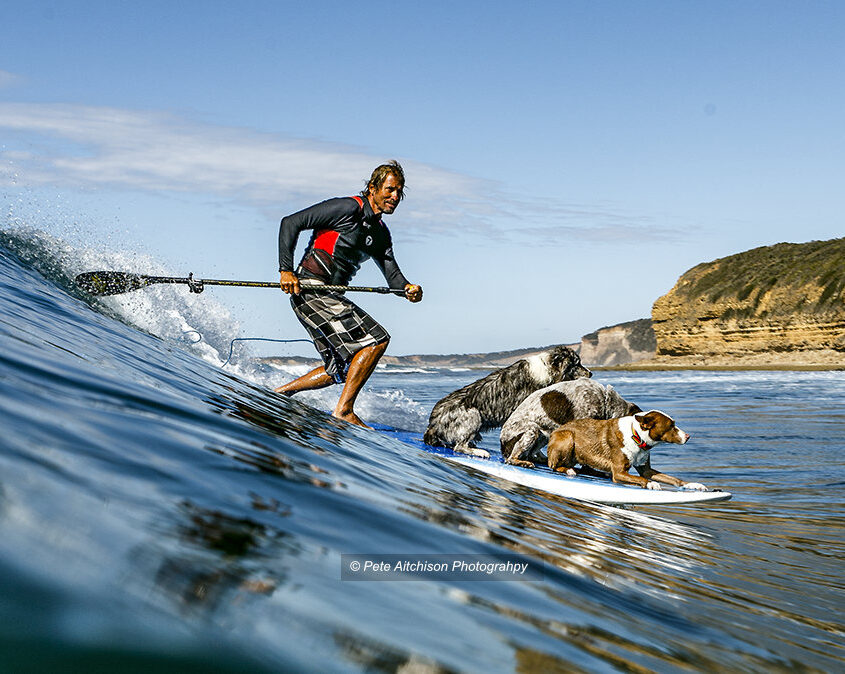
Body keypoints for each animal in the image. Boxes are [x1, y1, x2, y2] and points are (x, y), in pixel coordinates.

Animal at [544, 406, 704, 490]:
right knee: (553, 465)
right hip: (567, 437)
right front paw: (651, 483)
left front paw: (693, 484)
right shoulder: (619, 473)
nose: (688, 436)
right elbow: (640, 479)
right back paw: (569, 470)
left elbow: (673, 479)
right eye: (671, 426)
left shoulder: (646, 469)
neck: (637, 436)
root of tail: (555, 431)